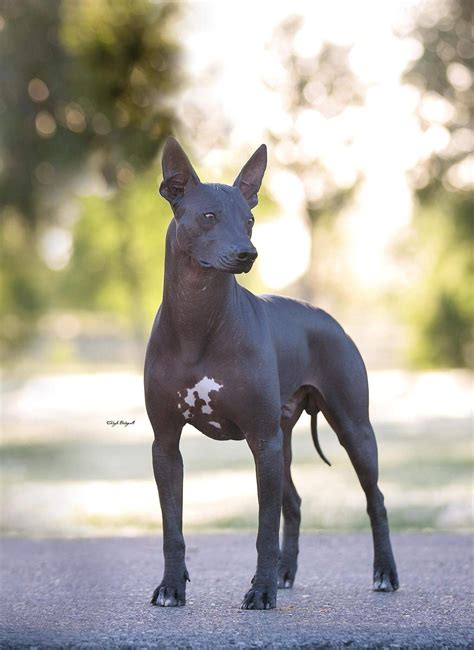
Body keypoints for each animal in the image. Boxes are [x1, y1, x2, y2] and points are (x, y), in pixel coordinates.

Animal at [144, 137, 400, 608]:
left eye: (249, 220)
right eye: (209, 216)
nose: (248, 253)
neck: (198, 322)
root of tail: (330, 320)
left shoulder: (261, 440)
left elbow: (264, 529)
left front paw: (259, 591)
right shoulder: (166, 444)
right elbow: (173, 528)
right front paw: (171, 587)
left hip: (350, 429)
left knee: (375, 499)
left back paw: (384, 573)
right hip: (283, 441)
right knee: (294, 503)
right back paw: (285, 572)